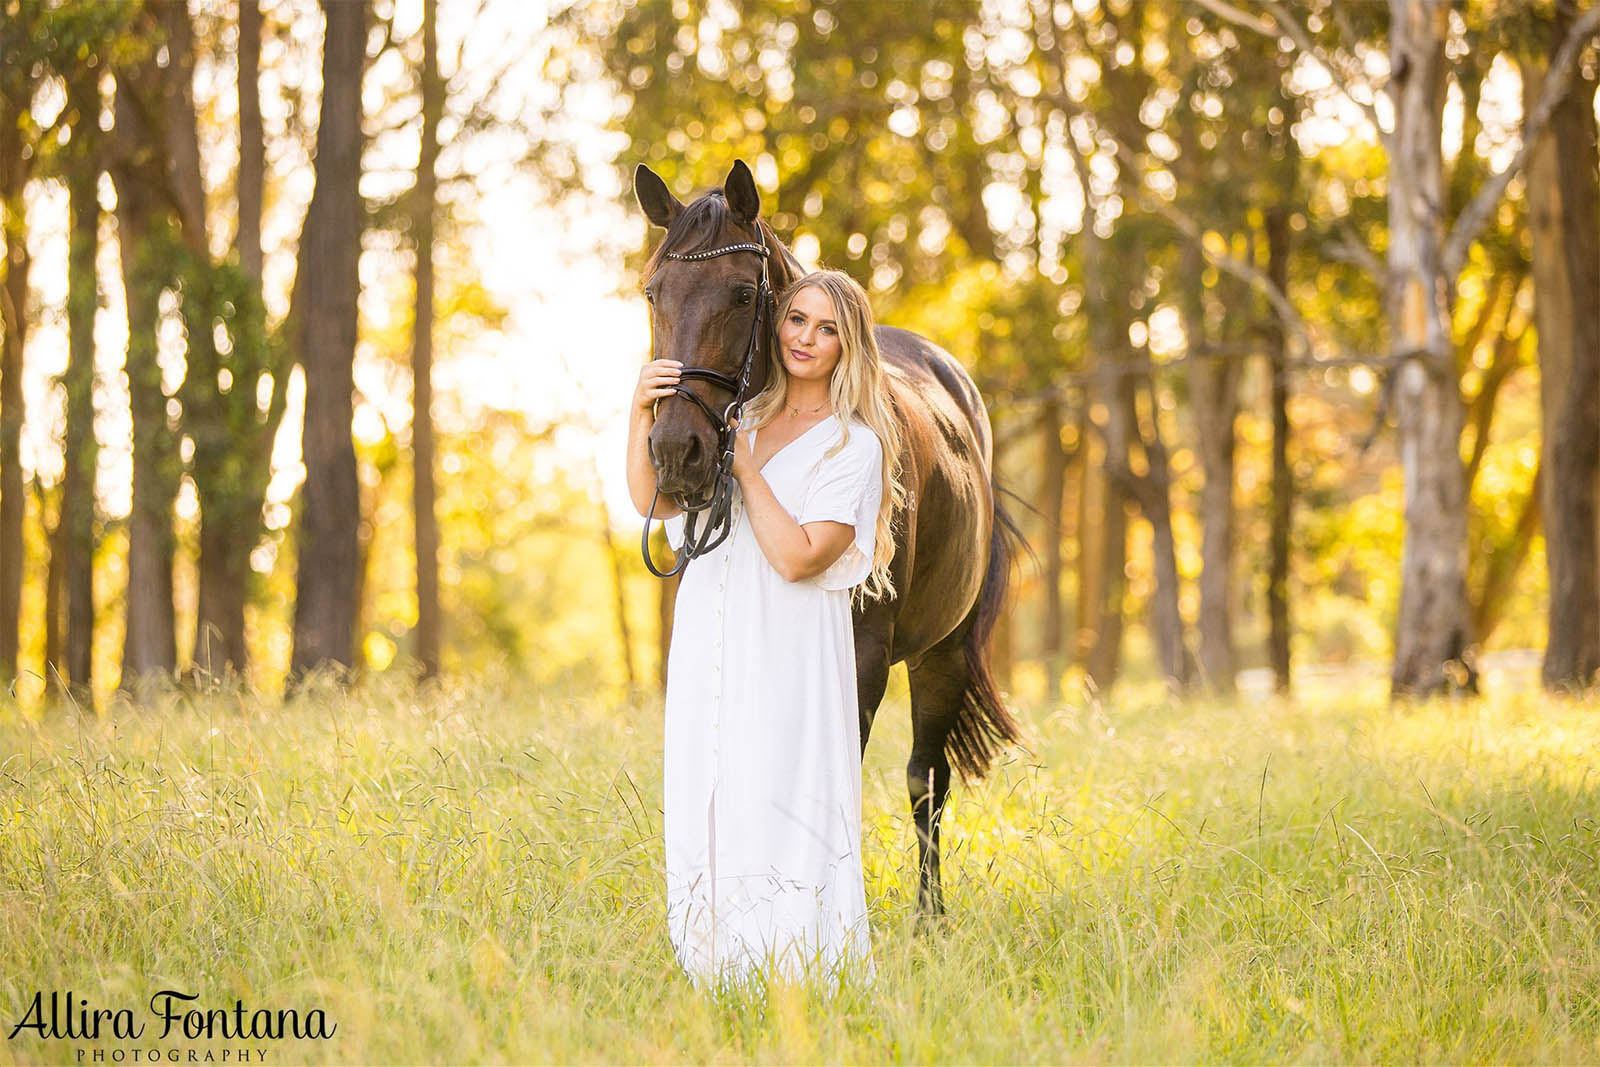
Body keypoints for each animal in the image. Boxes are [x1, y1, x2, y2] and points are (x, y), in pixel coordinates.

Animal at [630, 158, 1017, 921]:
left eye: (742, 293)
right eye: (654, 294)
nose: (676, 455)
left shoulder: (861, 656)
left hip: (942, 653)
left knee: (926, 780)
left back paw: (929, 919)